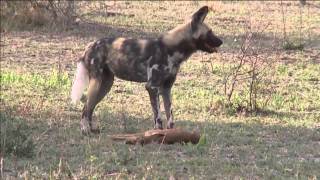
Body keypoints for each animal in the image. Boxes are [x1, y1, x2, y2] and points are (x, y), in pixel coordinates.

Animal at [71, 6, 224, 134]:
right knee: (85, 108)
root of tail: (91, 44)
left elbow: (170, 115)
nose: (221, 41)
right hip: (97, 83)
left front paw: (171, 133)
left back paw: (92, 129)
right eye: (210, 32)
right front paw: (157, 133)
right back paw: (85, 130)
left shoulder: (166, 88)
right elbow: (158, 116)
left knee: (90, 108)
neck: (171, 49)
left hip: (105, 86)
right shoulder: (152, 87)